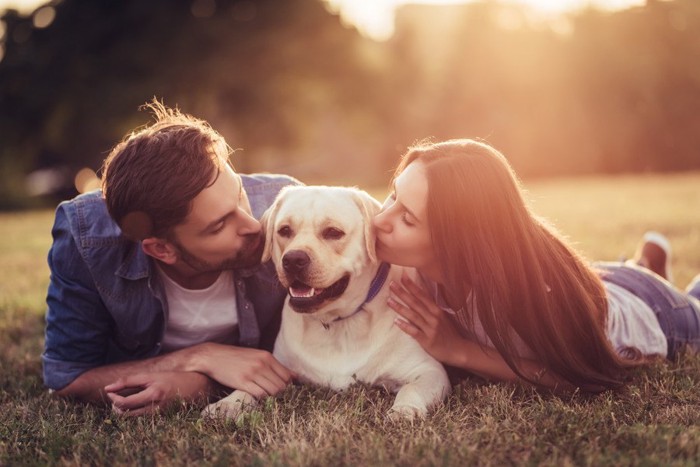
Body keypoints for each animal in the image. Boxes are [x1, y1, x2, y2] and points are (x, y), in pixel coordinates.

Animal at [205, 186, 452, 420]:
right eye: (284, 230)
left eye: (333, 232)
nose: (293, 259)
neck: (337, 323)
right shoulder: (279, 368)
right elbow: (250, 387)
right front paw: (228, 403)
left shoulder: (429, 371)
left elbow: (412, 389)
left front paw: (404, 410)